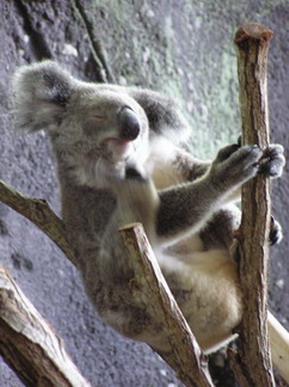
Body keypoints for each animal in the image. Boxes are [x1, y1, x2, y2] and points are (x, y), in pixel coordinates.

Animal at [11, 61, 284, 358]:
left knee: (220, 217)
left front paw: (268, 158)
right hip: (150, 295)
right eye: (97, 115)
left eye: (137, 114)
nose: (132, 127)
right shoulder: (95, 202)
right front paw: (228, 171)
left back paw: (249, 240)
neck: (137, 164)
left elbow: (195, 170)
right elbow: (161, 217)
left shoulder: (170, 159)